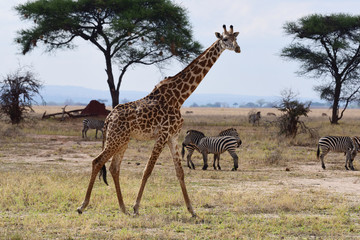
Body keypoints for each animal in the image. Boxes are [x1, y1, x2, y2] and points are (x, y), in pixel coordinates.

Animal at [77, 24, 240, 218]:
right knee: (97, 161)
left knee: (114, 168)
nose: (238, 48)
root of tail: (109, 118)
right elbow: (147, 170)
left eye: (236, 38)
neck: (180, 97)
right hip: (115, 139)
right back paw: (83, 206)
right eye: (225, 39)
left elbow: (180, 172)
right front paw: (136, 207)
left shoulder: (173, 137)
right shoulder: (162, 135)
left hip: (123, 140)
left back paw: (122, 208)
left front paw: (192, 211)